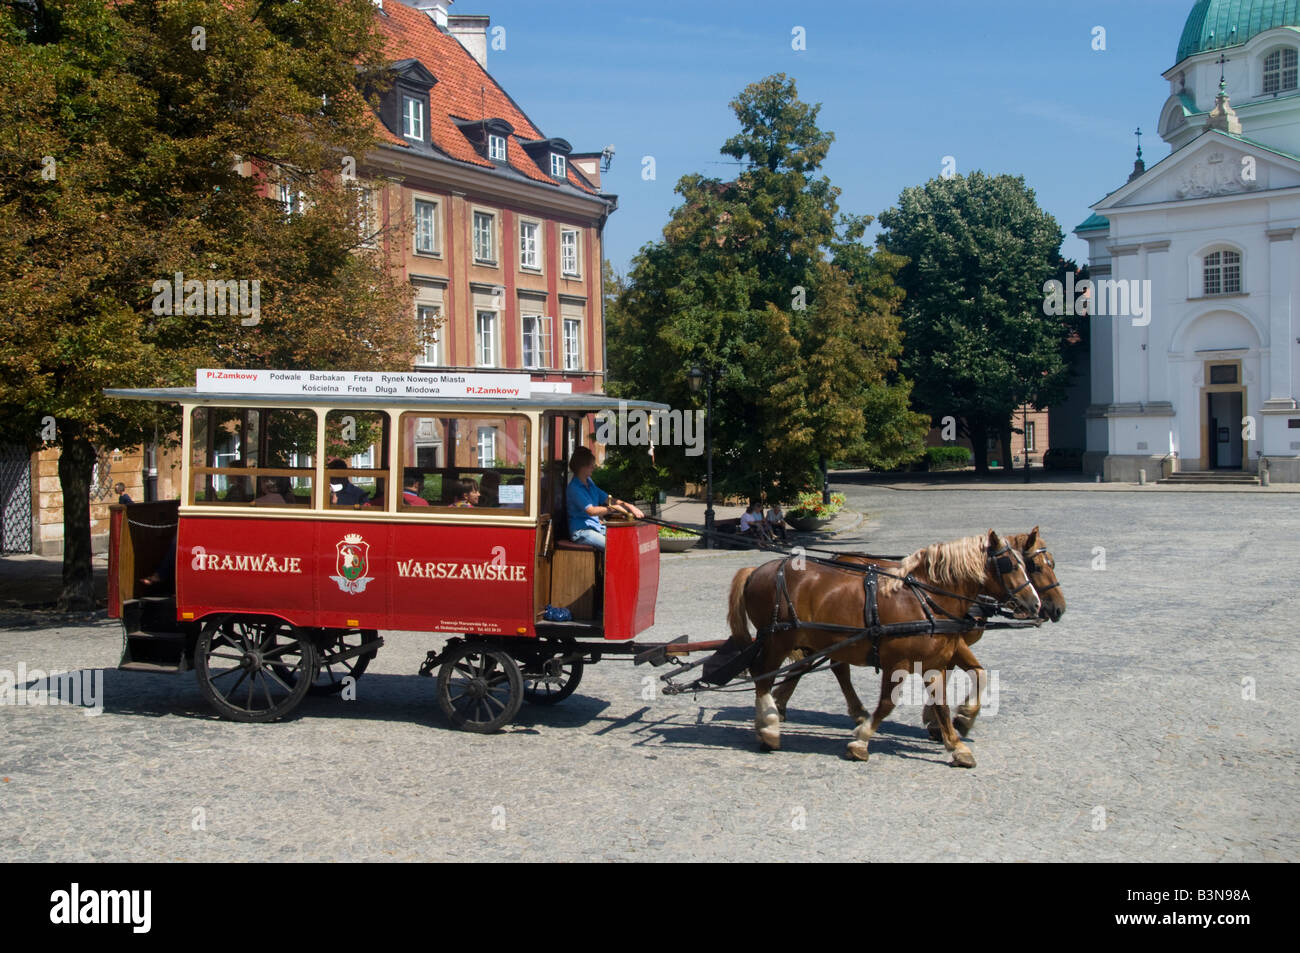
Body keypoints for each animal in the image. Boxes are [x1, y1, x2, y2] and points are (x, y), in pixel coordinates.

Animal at [728, 527, 1040, 764]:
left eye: (1029, 565)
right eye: (1011, 565)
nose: (1036, 604)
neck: (925, 599)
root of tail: (756, 570)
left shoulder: (934, 663)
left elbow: (943, 703)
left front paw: (956, 744)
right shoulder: (897, 663)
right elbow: (888, 704)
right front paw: (861, 741)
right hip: (778, 639)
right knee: (762, 676)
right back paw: (769, 729)